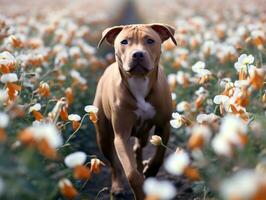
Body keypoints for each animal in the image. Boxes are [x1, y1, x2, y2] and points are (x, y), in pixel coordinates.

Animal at [94, 24, 177, 199]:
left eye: (150, 40)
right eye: (124, 41)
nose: (138, 54)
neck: (139, 81)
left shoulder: (164, 125)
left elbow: (159, 156)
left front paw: (149, 171)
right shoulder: (121, 135)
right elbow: (131, 173)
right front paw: (140, 191)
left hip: (143, 132)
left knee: (138, 147)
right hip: (103, 136)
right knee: (114, 164)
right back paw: (117, 187)